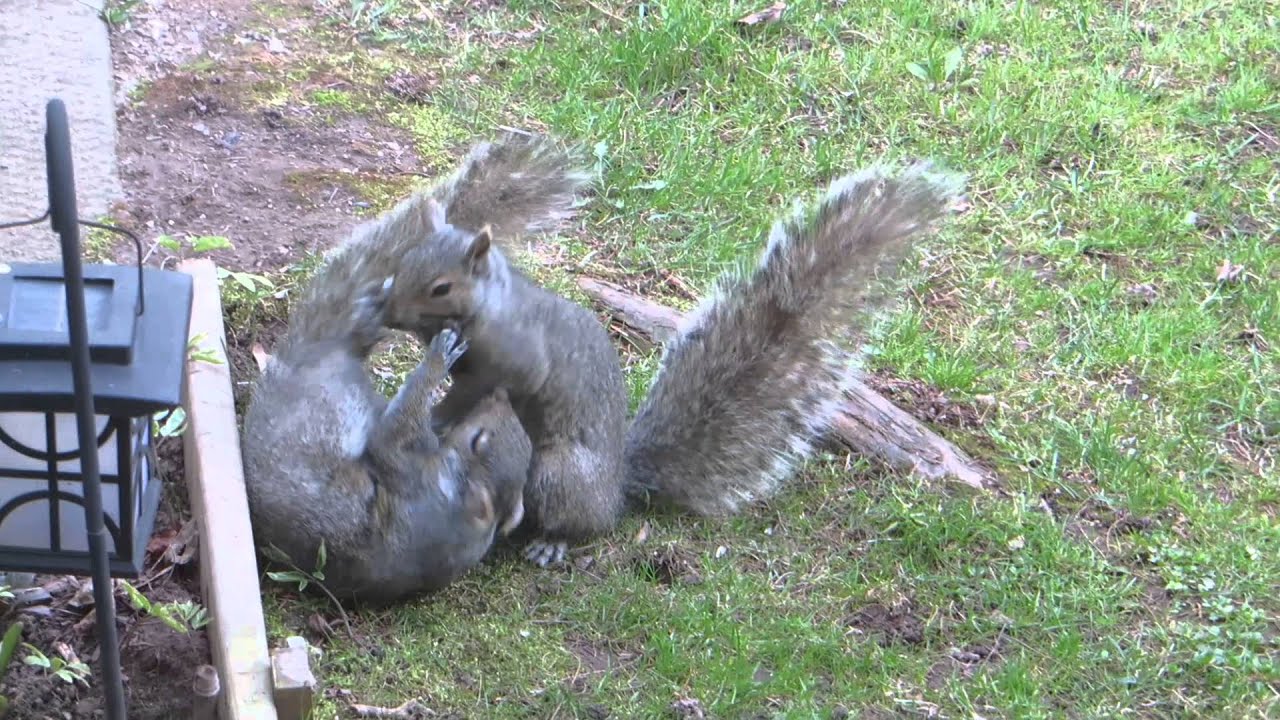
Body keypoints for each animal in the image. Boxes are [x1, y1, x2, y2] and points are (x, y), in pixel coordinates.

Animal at [240, 133, 590, 602]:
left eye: (479, 440)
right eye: (492, 435)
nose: (499, 396)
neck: (456, 510)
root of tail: (312, 352)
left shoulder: (410, 472)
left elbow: (393, 434)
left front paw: (439, 356)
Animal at [369, 156, 966, 567]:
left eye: (441, 286)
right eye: (405, 258)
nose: (388, 309)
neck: (489, 306)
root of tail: (616, 489)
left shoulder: (514, 362)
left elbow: (477, 391)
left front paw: (436, 417)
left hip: (559, 473)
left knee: (574, 521)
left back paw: (553, 543)